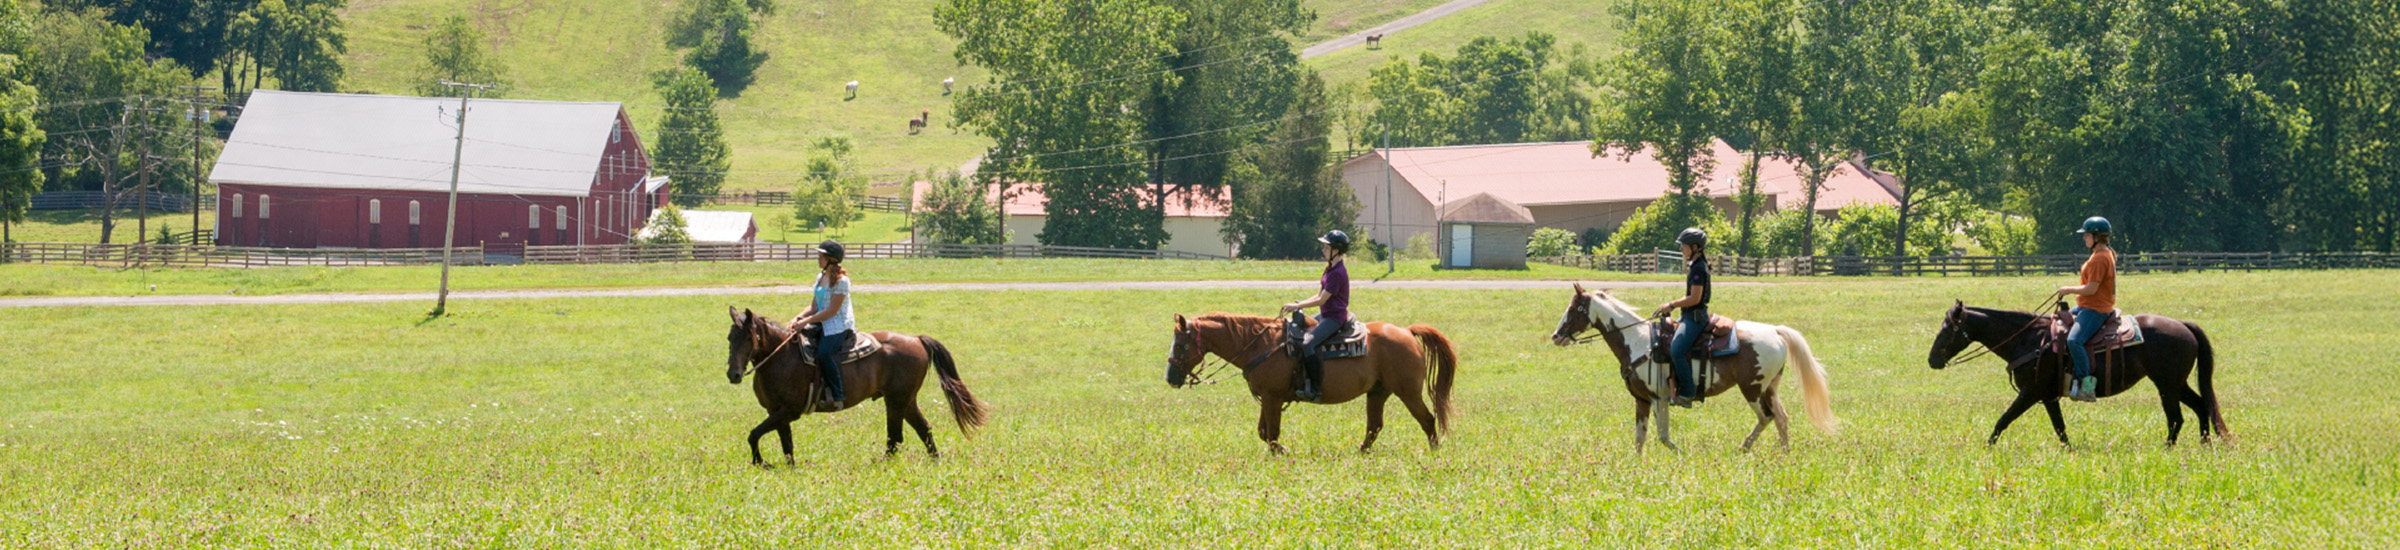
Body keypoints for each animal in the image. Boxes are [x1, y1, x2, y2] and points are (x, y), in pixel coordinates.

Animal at [723, 307, 990, 465]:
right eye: (730, 338)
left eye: (749, 338)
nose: (733, 374)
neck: (780, 357)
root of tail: (916, 339)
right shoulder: (776, 412)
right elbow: (785, 444)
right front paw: (787, 468)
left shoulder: (789, 410)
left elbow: (754, 434)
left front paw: (761, 463)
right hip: (906, 401)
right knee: (922, 429)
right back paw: (935, 460)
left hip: (896, 401)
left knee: (895, 437)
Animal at [1163, 313, 1458, 455]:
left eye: (1180, 344)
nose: (1170, 378)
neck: (1260, 344)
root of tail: (1407, 331)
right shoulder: (1268, 399)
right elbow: (1263, 432)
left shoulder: (1272, 398)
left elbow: (1271, 434)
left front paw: (1282, 451)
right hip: (1377, 393)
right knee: (1374, 426)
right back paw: (1361, 451)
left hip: (1408, 392)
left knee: (1427, 419)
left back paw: (1434, 450)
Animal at [1549, 284, 1836, 453]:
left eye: (1575, 308)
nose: (1556, 336)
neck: (1639, 341)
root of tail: (1775, 331)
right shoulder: (1641, 400)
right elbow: (1640, 438)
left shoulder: (1659, 398)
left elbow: (1663, 436)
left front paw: (1681, 455)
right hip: (1770, 388)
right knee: (1781, 417)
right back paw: (1783, 452)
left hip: (1752, 389)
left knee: (1766, 417)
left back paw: (1744, 447)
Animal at [1928, 301, 2230, 448]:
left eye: (1948, 328)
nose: (1932, 360)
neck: (2029, 339)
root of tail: (2183, 325)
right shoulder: (2048, 397)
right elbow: (2060, 428)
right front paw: (2068, 451)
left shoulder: (2030, 393)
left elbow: (2003, 419)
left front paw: (1987, 447)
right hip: (2177, 383)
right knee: (2201, 406)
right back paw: (2204, 443)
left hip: (2166, 385)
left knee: (2176, 417)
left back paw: (2168, 447)